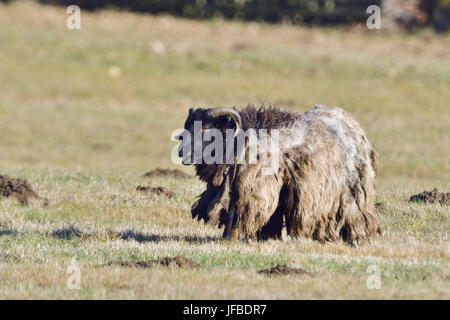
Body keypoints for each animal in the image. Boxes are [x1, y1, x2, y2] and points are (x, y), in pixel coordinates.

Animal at [176, 105, 380, 245]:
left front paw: (231, 236)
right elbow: (234, 205)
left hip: (352, 189)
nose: (181, 153)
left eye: (205, 128)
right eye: (187, 126)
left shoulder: (255, 186)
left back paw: (354, 237)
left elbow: (239, 207)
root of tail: (355, 127)